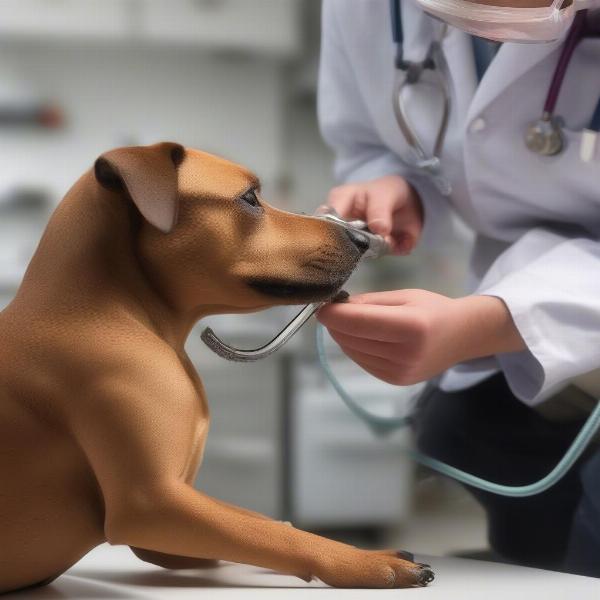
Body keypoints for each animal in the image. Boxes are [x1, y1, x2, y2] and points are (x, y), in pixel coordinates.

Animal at [0, 143, 432, 592]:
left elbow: (263, 522)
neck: (107, 309)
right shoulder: (152, 504)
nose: (363, 238)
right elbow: (273, 533)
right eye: (249, 198)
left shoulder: (173, 525)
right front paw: (365, 560)